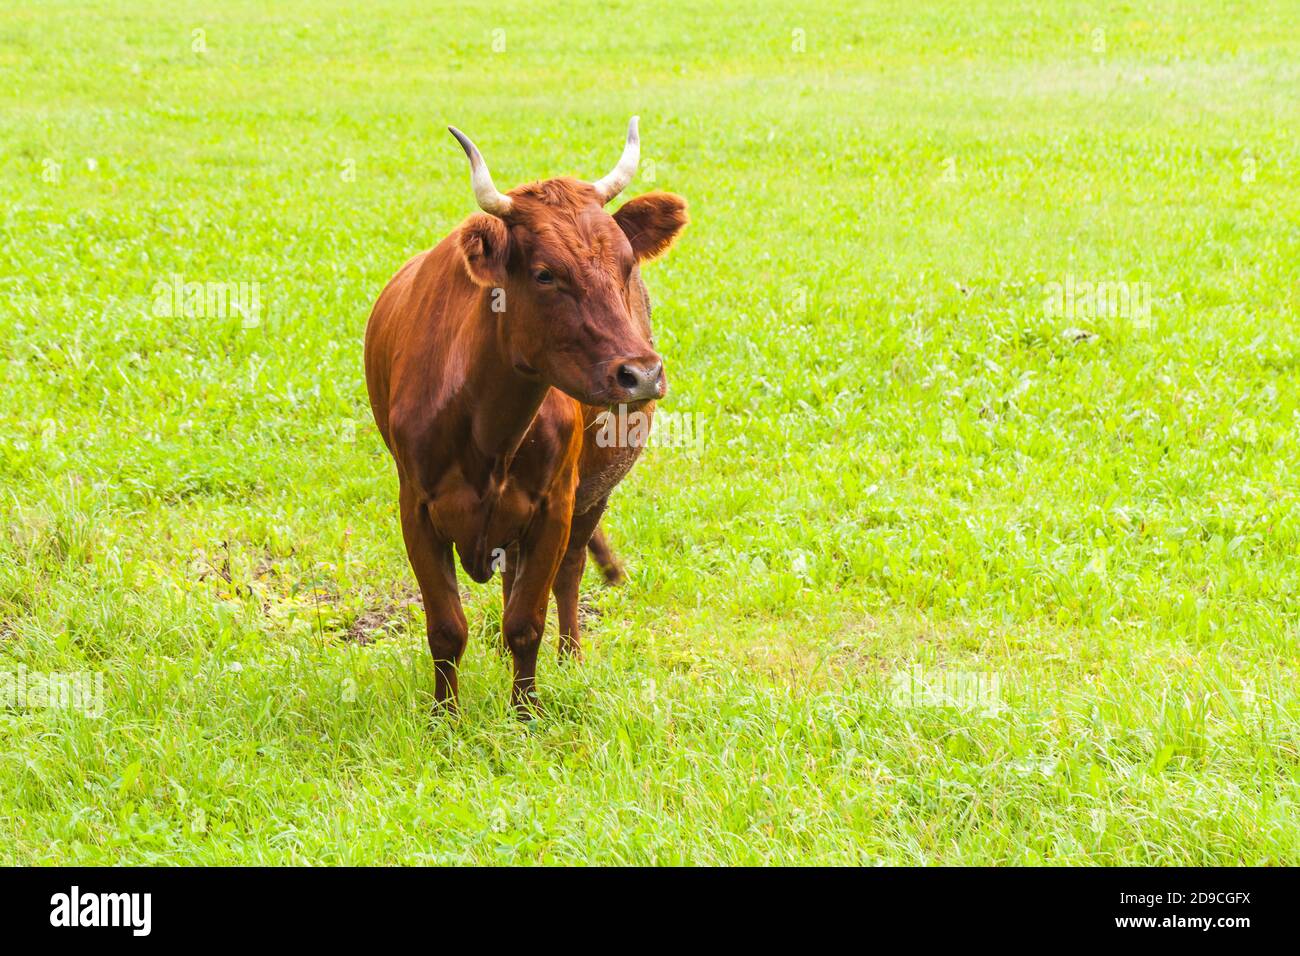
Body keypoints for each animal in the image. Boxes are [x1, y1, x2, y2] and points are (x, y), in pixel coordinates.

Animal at [366, 119, 691, 712]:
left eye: (626, 264)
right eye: (544, 274)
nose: (642, 374)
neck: (485, 430)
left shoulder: (554, 507)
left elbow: (527, 620)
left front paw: (526, 712)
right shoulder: (415, 508)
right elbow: (445, 627)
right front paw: (444, 716)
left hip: (594, 491)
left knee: (568, 573)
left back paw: (570, 656)